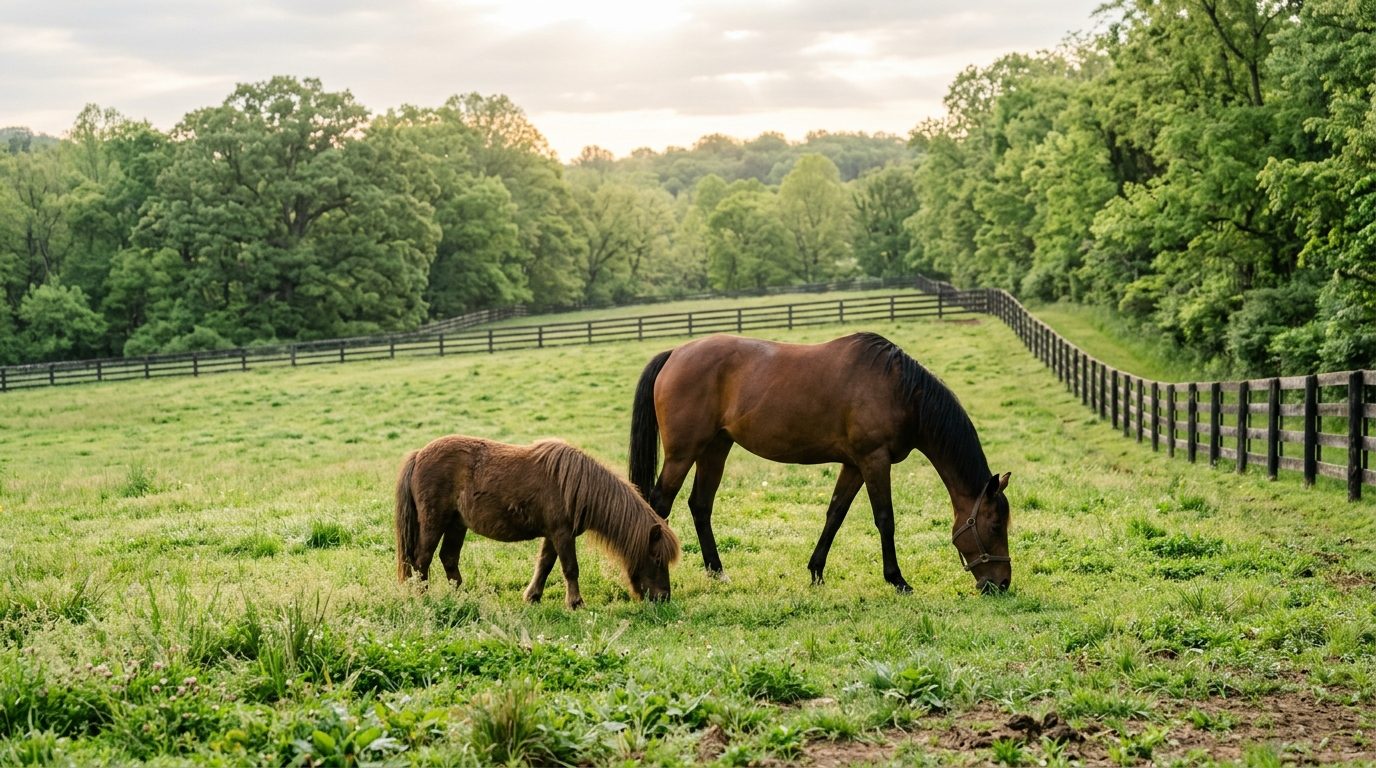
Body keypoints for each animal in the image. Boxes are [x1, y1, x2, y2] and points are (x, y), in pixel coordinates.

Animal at [395, 435, 681, 609]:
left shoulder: (553, 535)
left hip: (457, 524)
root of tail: (419, 455)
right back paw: (423, 599)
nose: (664, 597)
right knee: (421, 560)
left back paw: (462, 597)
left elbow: (545, 565)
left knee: (448, 558)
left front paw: (533, 596)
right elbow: (570, 568)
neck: (574, 486)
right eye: (657, 559)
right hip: (434, 523)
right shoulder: (562, 534)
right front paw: (576, 603)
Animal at [629, 332, 1012, 594]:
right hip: (683, 453)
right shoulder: (874, 460)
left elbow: (835, 514)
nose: (1002, 583)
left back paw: (717, 571)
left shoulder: (854, 465)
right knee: (659, 504)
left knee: (700, 505)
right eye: (995, 526)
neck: (900, 390)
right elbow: (885, 519)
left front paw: (816, 571)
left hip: (715, 449)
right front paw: (897, 579)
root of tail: (675, 353)